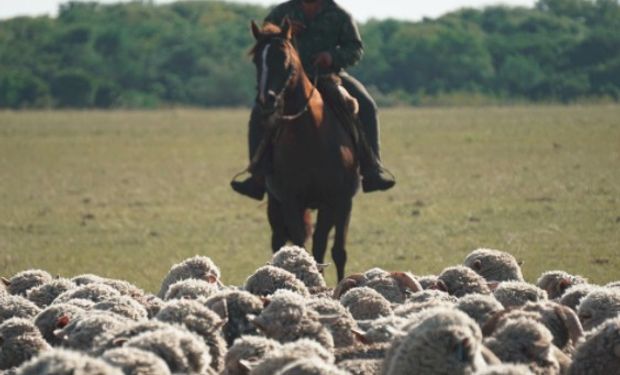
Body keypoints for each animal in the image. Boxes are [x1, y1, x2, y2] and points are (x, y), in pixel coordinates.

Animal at [249, 18, 360, 282]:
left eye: (284, 59)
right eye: (256, 60)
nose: (266, 101)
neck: (310, 135)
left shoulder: (334, 200)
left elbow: (327, 247)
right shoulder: (291, 200)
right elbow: (301, 245)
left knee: (335, 249)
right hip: (275, 205)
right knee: (279, 241)